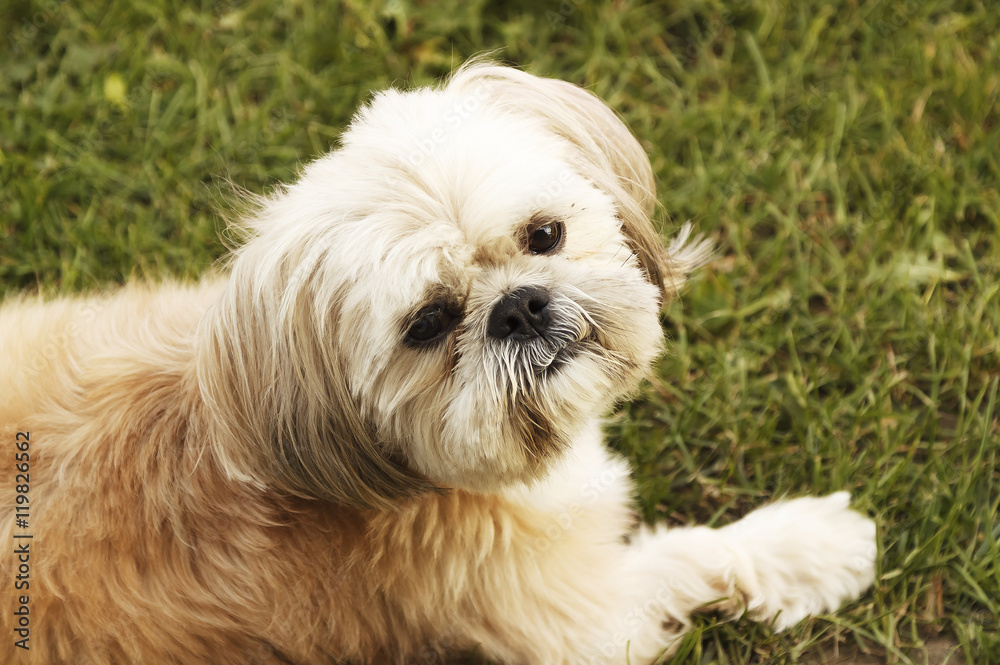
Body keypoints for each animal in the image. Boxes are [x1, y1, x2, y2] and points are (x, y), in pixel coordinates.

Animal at [1, 62, 876, 664]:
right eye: (426, 324)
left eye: (544, 234)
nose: (518, 307)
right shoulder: (582, 615)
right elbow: (693, 551)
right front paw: (812, 542)